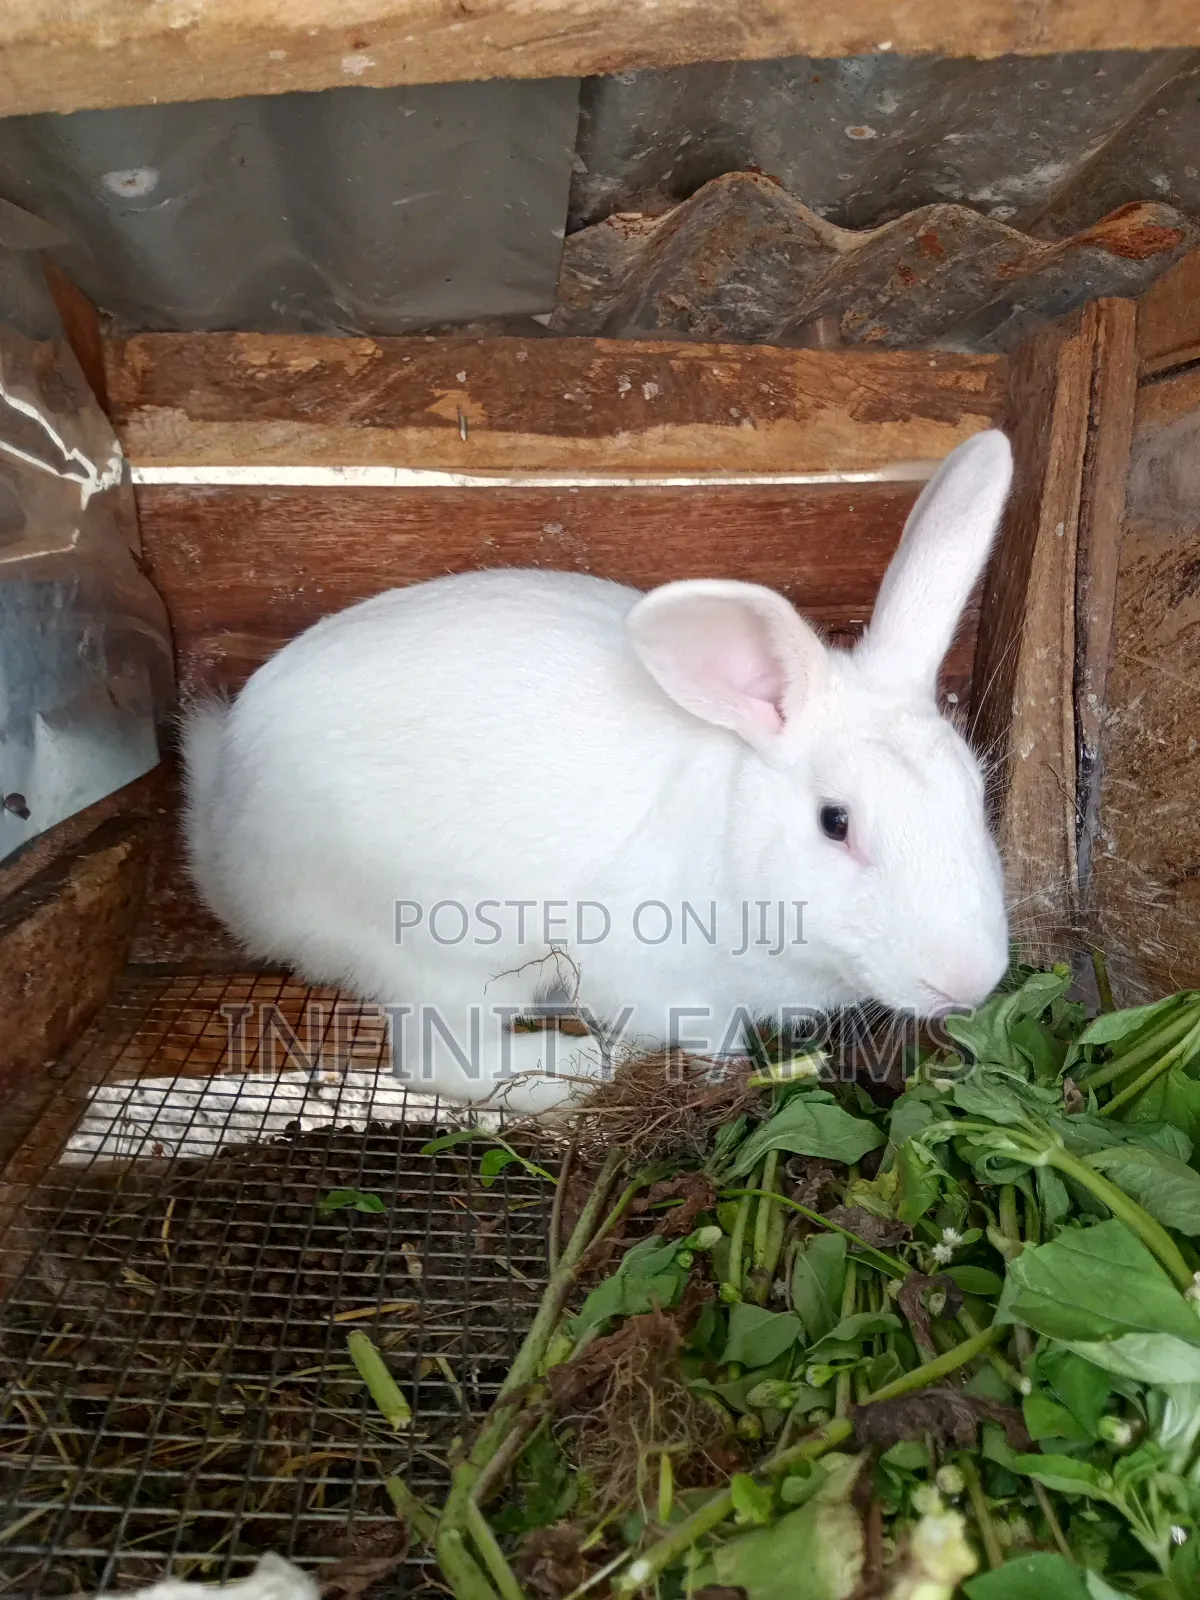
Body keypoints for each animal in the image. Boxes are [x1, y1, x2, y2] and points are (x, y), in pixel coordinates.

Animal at [183, 428, 1013, 1114]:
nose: (970, 980)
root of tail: (222, 837)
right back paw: (584, 1065)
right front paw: (723, 1076)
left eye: (976, 794)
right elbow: (708, 1037)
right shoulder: (659, 979)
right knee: (441, 1059)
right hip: (447, 951)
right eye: (834, 822)